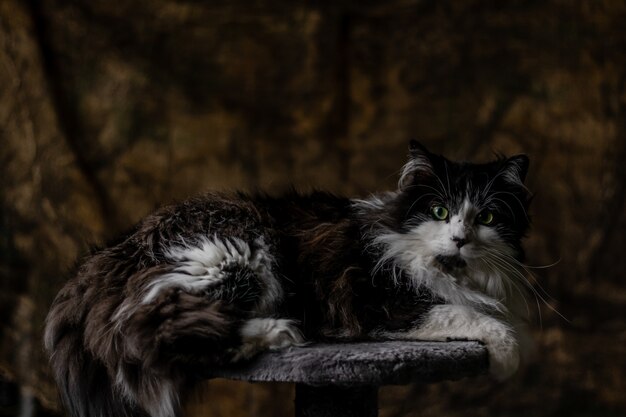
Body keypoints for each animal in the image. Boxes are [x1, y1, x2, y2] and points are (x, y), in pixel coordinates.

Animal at [44, 141, 532, 416]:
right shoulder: (383, 305)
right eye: (439, 211)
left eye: (487, 217)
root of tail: (111, 253)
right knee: (159, 332)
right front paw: (508, 360)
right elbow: (468, 315)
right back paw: (280, 332)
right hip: (236, 255)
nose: (460, 239)